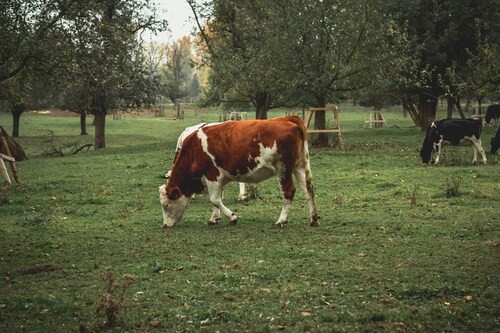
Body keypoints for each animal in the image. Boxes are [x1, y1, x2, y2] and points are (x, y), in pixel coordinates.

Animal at [158, 115, 318, 227]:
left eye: (165, 205)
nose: (165, 225)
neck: (194, 150)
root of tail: (288, 119)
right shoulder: (216, 178)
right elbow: (217, 198)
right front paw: (214, 218)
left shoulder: (212, 175)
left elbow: (214, 199)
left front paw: (233, 217)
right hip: (300, 166)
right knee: (308, 190)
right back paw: (314, 219)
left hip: (282, 169)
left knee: (289, 191)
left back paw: (281, 220)